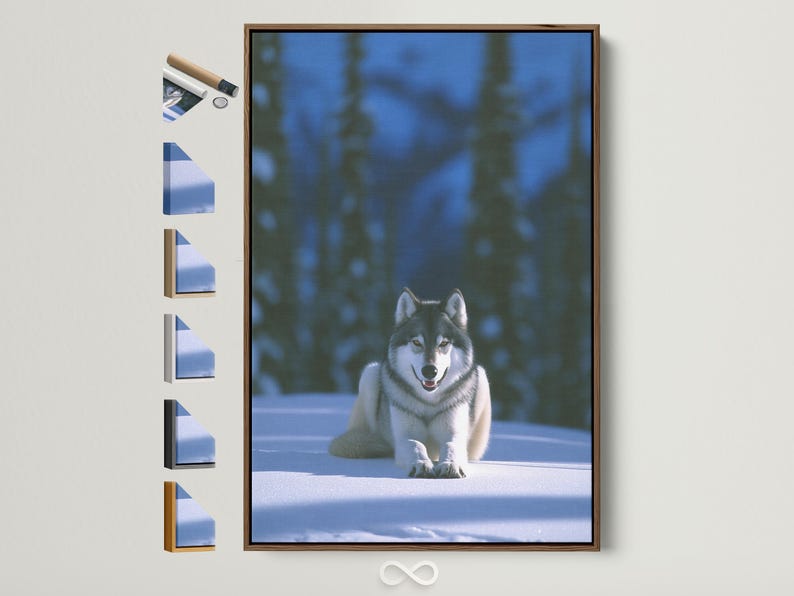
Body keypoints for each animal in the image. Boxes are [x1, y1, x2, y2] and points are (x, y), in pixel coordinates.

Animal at [329, 288, 491, 478]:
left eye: (443, 343)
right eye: (416, 342)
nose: (430, 371)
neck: (428, 401)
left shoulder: (454, 433)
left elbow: (451, 446)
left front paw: (451, 465)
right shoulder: (404, 437)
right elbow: (416, 445)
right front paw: (421, 464)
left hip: (482, 378)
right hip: (370, 374)